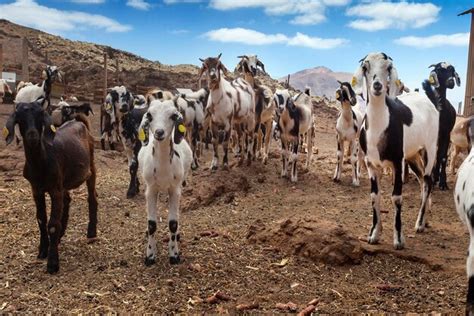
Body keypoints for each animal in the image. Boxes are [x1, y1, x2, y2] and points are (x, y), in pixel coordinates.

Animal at [3, 101, 98, 274]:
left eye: (40, 116)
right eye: (20, 118)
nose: (32, 135)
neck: (42, 161)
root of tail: (80, 122)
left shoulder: (54, 190)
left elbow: (53, 224)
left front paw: (53, 263)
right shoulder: (36, 190)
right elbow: (41, 219)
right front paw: (43, 250)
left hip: (91, 168)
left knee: (92, 197)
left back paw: (91, 232)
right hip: (63, 182)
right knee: (67, 199)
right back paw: (61, 234)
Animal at [137, 98, 193, 264]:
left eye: (174, 116)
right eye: (149, 115)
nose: (159, 132)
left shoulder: (175, 190)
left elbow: (173, 223)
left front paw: (174, 254)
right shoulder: (150, 189)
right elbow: (152, 224)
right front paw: (150, 255)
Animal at [356, 51, 440, 249]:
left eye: (388, 67)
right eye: (365, 66)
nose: (377, 85)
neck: (379, 127)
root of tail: (429, 101)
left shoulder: (397, 161)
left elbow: (396, 197)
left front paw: (398, 239)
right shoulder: (371, 164)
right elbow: (374, 195)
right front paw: (374, 234)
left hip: (430, 149)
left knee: (428, 181)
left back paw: (419, 224)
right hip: (412, 155)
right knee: (422, 181)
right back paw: (424, 220)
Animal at [424, 62, 462, 190]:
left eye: (452, 71)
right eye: (439, 70)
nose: (451, 82)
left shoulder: (446, 134)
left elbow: (443, 157)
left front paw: (443, 183)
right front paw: (430, 180)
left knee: (439, 155)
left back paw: (436, 177)